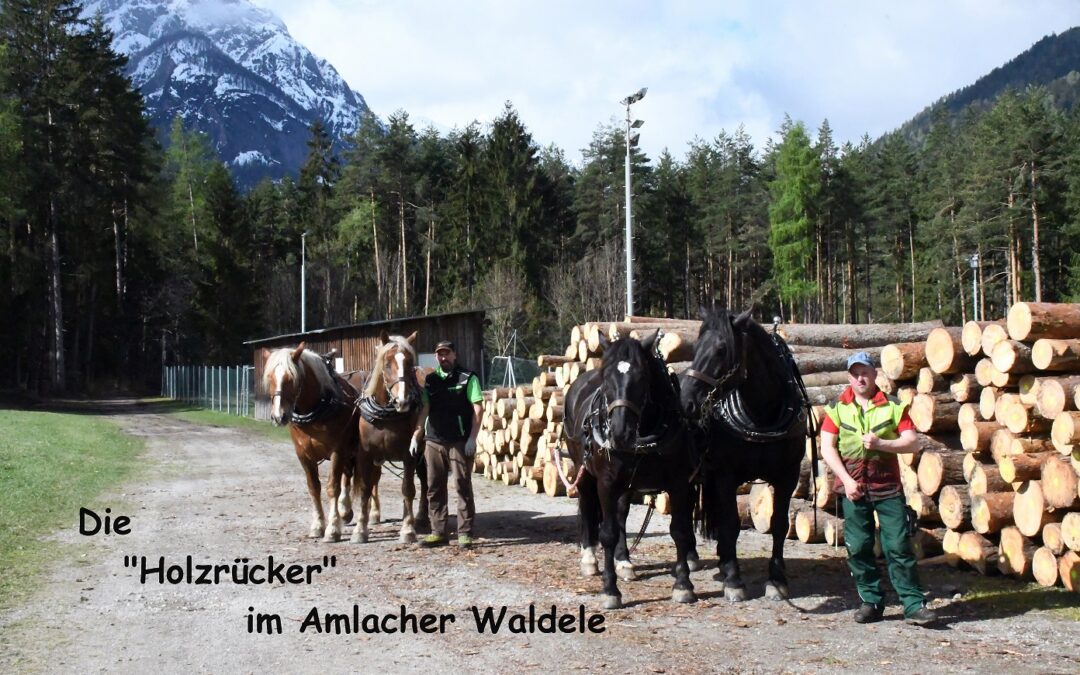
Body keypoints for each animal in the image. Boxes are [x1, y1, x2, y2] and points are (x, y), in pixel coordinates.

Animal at [264, 341, 362, 542]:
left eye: (291, 378)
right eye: (270, 377)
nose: (279, 416)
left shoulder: (337, 451)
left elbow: (333, 487)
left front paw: (332, 529)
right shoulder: (303, 455)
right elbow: (313, 487)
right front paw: (318, 525)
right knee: (347, 475)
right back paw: (345, 510)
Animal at [349, 332, 425, 542]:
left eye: (409, 363)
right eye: (387, 363)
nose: (403, 401)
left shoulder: (409, 455)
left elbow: (408, 489)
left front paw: (408, 529)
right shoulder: (365, 455)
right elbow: (365, 489)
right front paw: (360, 529)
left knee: (423, 481)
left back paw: (419, 516)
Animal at [561, 334, 695, 609]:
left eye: (642, 377)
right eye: (605, 378)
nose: (620, 432)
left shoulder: (679, 483)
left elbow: (679, 530)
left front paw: (683, 585)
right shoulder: (606, 483)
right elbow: (608, 533)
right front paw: (610, 591)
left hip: (626, 484)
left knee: (621, 513)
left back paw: (624, 562)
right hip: (584, 471)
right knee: (588, 507)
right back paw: (589, 559)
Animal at [682, 306, 812, 600]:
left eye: (721, 349)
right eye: (695, 347)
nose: (686, 401)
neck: (761, 417)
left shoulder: (788, 475)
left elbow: (779, 524)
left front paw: (777, 580)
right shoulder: (725, 475)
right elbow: (730, 523)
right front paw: (733, 580)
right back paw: (693, 558)